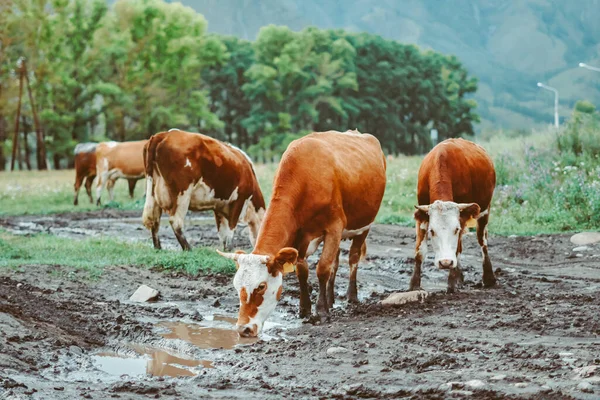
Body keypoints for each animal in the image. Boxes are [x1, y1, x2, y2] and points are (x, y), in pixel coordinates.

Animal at [218, 131, 386, 338]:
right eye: (236, 286)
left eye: (261, 286)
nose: (244, 329)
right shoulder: (300, 236)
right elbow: (302, 271)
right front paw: (304, 309)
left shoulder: (334, 227)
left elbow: (322, 268)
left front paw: (321, 311)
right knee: (336, 261)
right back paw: (331, 298)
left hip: (364, 226)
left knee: (353, 258)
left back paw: (351, 296)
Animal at [412, 139, 496, 292]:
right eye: (431, 231)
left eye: (455, 229)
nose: (445, 262)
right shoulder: (422, 215)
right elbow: (420, 251)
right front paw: (414, 285)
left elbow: (457, 248)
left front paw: (452, 282)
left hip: (484, 210)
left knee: (482, 241)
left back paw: (488, 278)